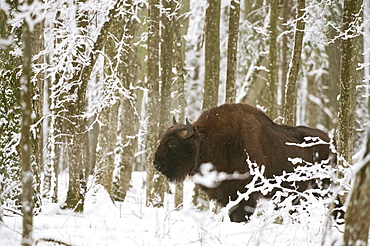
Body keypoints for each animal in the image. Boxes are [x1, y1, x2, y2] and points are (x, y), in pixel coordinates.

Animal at [152, 103, 342, 222]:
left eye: (173, 144)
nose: (156, 165)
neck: (206, 141)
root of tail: (330, 142)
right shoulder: (228, 196)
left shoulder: (244, 196)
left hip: (325, 186)